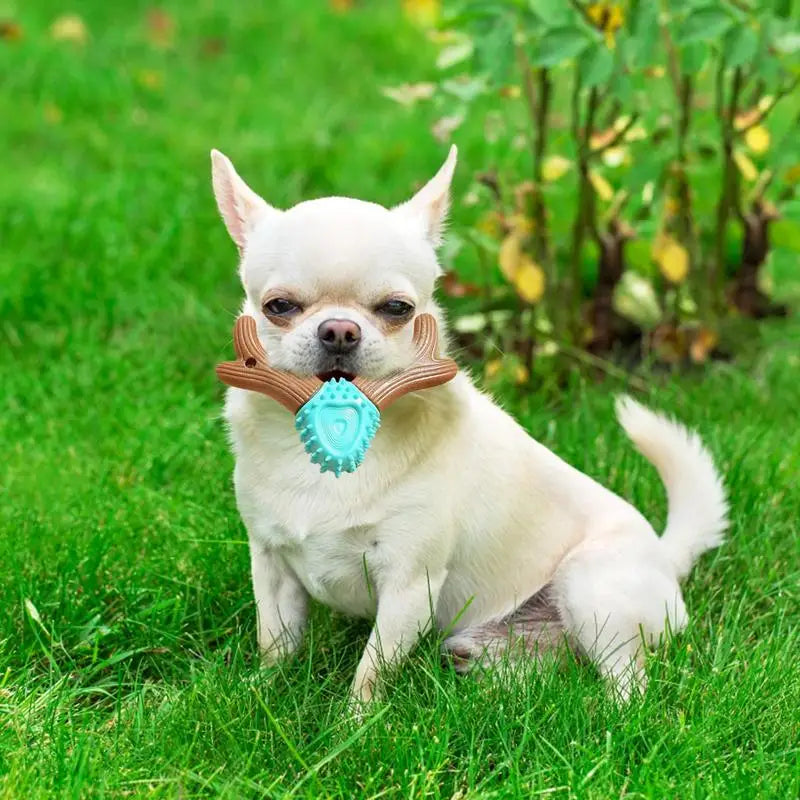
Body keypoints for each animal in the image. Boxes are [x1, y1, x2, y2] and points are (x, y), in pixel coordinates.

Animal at [209, 147, 728, 704]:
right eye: (278, 307)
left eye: (397, 309)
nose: (340, 330)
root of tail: (666, 559)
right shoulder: (271, 565)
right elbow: (276, 642)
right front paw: (258, 694)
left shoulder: (409, 584)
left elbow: (371, 671)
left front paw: (355, 720)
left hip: (592, 587)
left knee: (629, 679)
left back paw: (610, 714)